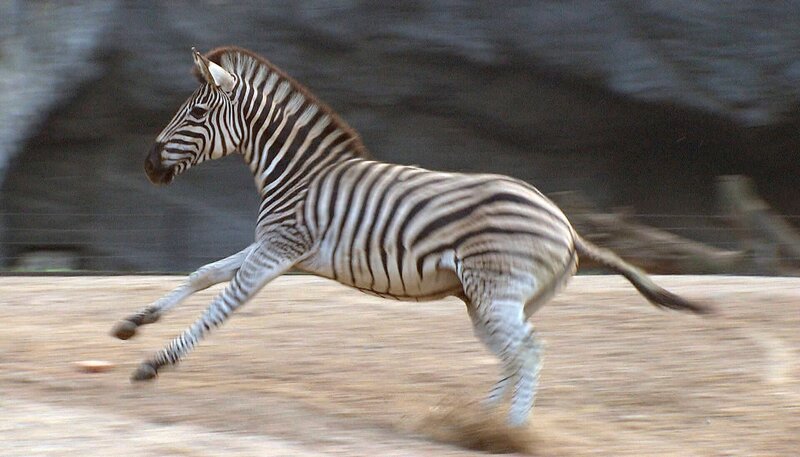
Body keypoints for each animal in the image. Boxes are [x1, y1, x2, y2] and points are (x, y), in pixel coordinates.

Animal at [112, 46, 710, 427]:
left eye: (196, 112)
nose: (147, 166)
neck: (300, 174)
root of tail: (566, 224)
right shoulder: (282, 250)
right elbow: (203, 273)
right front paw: (133, 323)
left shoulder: (281, 248)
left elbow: (220, 308)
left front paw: (155, 364)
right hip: (497, 300)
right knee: (513, 357)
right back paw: (478, 424)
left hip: (495, 295)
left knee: (530, 353)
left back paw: (510, 434)